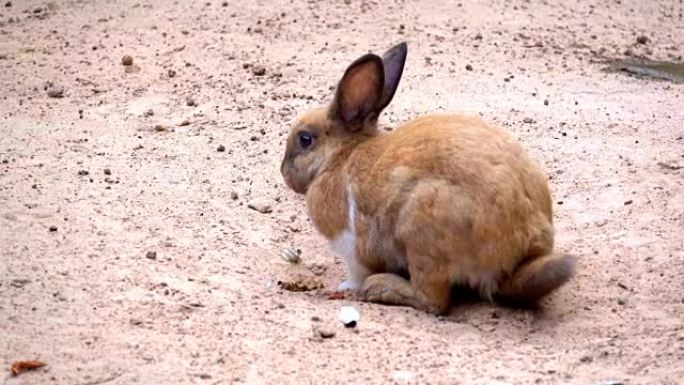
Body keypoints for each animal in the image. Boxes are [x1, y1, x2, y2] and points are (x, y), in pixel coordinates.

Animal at [280, 40, 576, 314]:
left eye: (305, 140)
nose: (284, 173)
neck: (341, 156)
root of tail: (522, 246)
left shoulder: (353, 248)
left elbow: (357, 272)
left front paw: (346, 287)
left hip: (421, 230)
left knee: (434, 301)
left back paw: (380, 287)